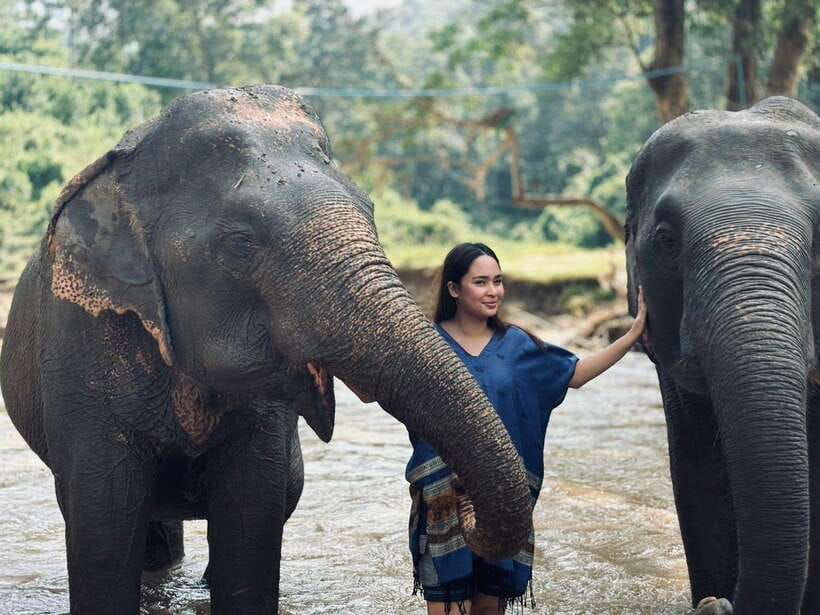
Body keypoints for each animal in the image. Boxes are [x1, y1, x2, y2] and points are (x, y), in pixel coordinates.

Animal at [0, 85, 532, 615]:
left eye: (371, 211)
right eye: (241, 243)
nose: (461, 506)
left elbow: (249, 524)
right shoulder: (82, 348)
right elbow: (104, 533)